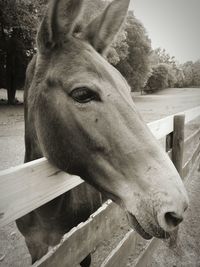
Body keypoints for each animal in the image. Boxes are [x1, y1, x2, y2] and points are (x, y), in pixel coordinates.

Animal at [16, 0, 189, 266]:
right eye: (82, 94)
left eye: (128, 90)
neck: (47, 209)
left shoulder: (82, 249)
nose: (177, 209)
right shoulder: (35, 248)